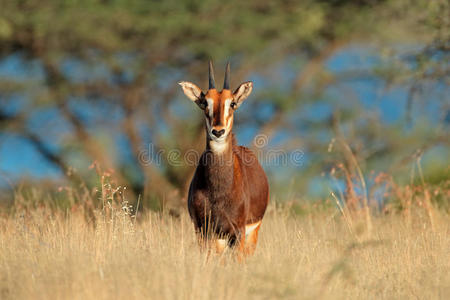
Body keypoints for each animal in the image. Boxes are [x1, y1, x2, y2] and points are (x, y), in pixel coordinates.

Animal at [178, 61, 268, 255]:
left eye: (232, 103)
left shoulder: (238, 232)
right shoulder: (203, 231)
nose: (218, 131)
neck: (219, 191)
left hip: (252, 233)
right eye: (205, 102)